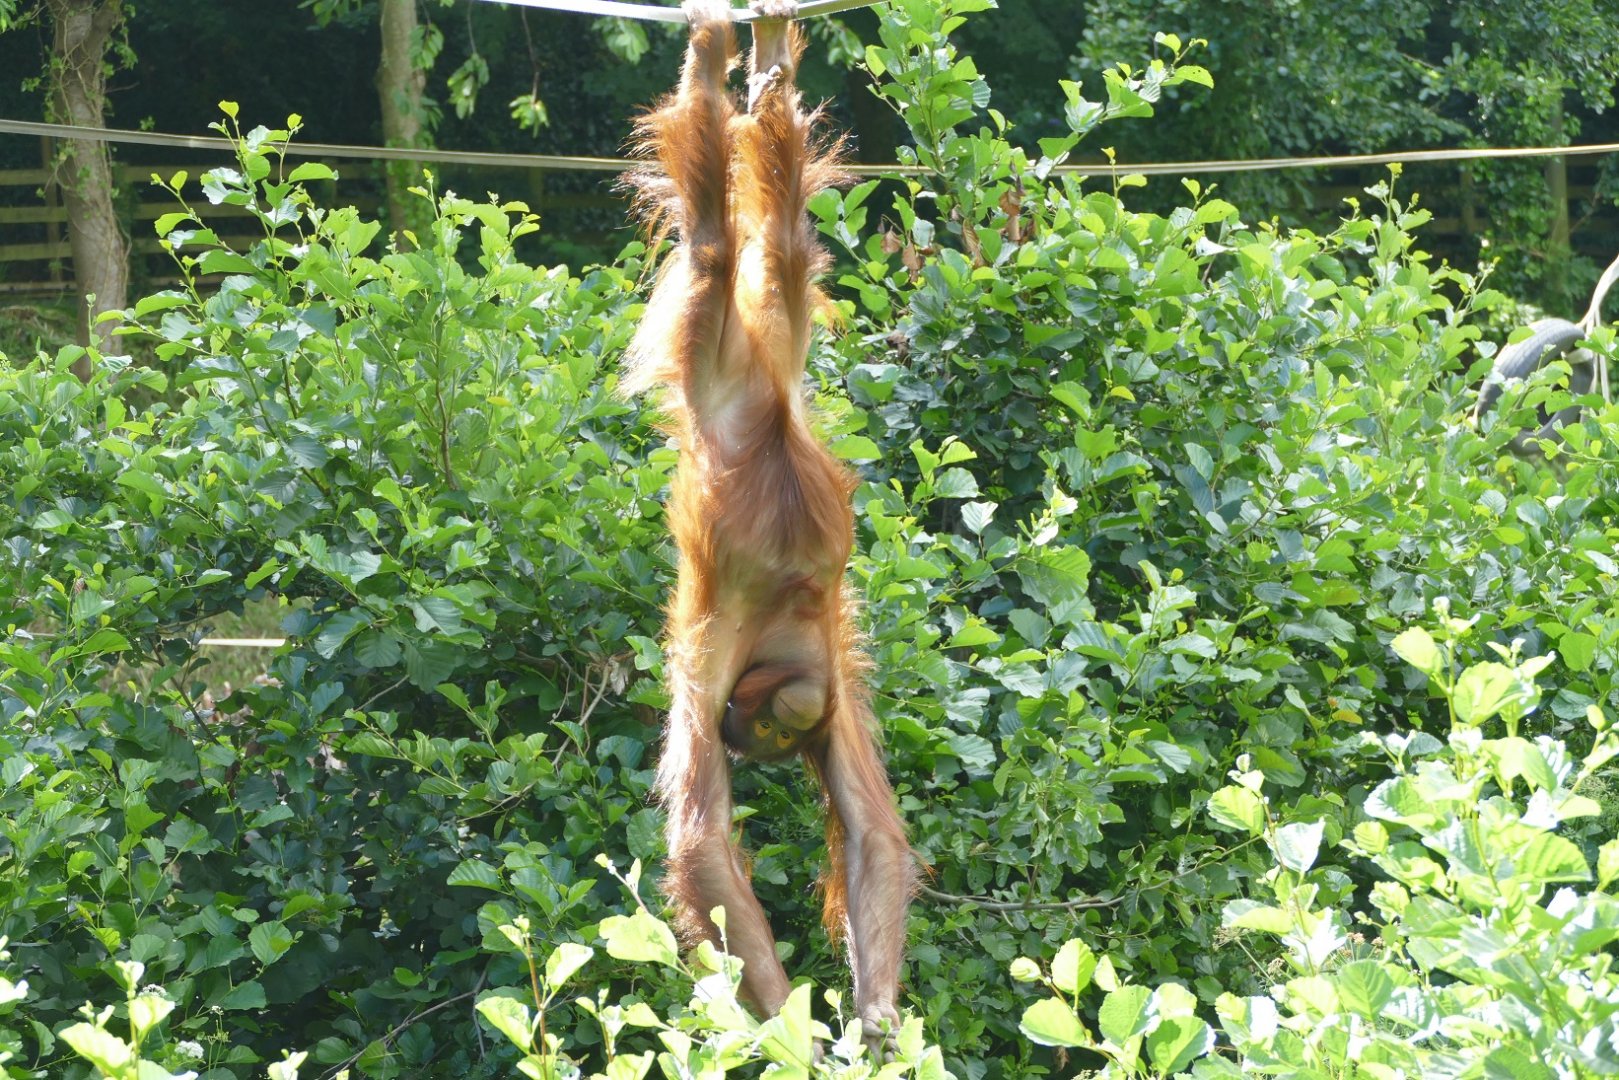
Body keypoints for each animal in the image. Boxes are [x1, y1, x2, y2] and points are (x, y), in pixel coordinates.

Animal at [621, 0, 913, 1052]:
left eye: (776, 735)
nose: (751, 740)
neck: (785, 630)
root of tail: (776, 419)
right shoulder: (703, 669)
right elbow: (703, 841)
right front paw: (792, 1030)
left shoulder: (834, 699)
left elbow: (870, 831)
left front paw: (875, 1025)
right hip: (719, 378)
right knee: (715, 249)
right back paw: (717, 70)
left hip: (774, 355)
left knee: (780, 240)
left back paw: (764, 68)